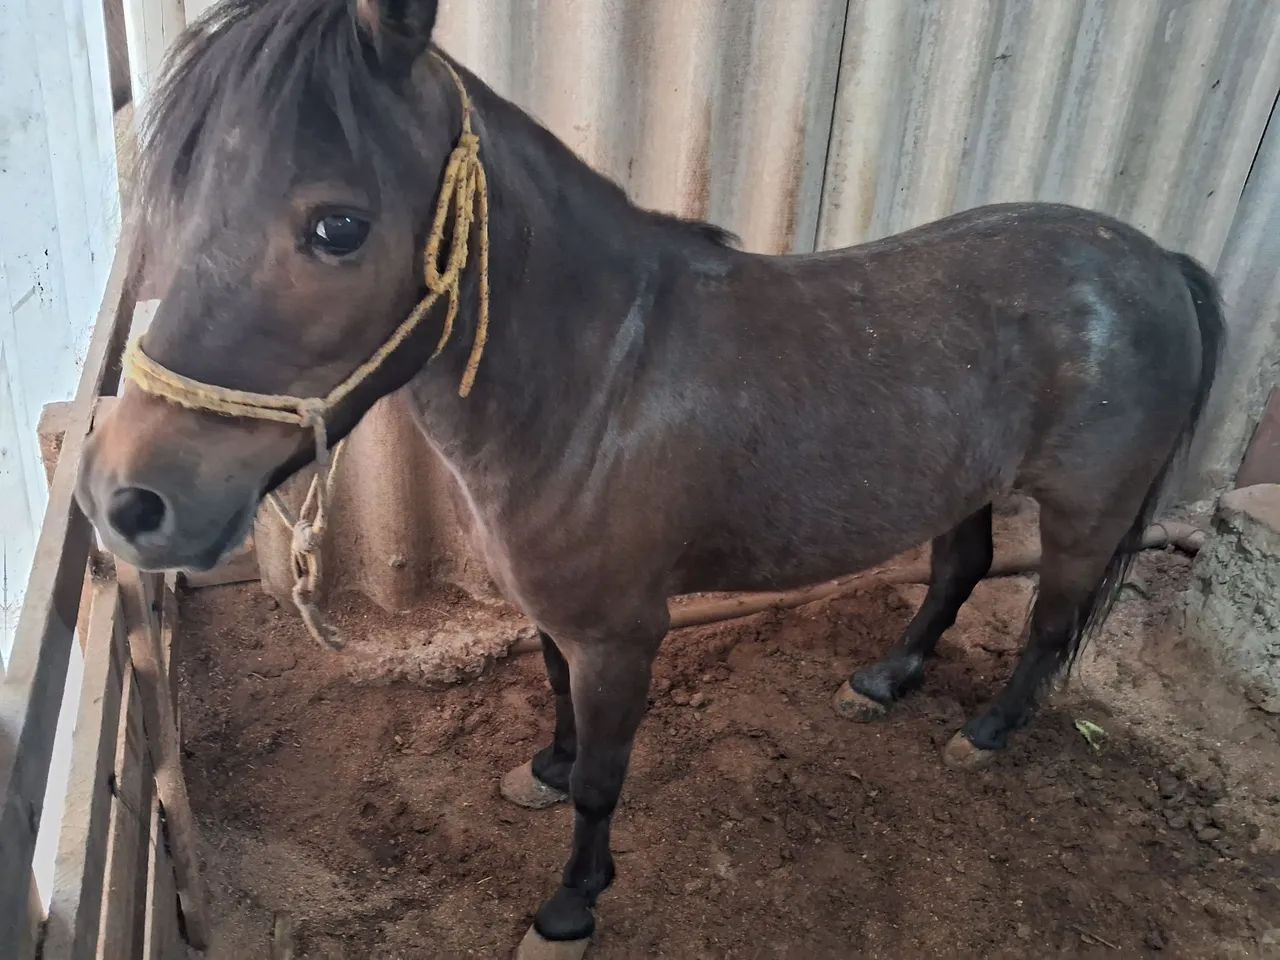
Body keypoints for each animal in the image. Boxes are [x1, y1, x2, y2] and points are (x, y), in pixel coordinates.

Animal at [76, 0, 1223, 954]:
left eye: (337, 225)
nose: (125, 501)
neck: (599, 382)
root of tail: (1156, 261)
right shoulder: (556, 617)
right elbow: (557, 714)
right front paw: (538, 775)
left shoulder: (623, 632)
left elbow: (604, 778)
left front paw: (569, 909)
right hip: (966, 483)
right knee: (959, 569)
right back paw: (882, 683)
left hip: (1084, 509)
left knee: (1050, 620)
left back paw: (984, 735)